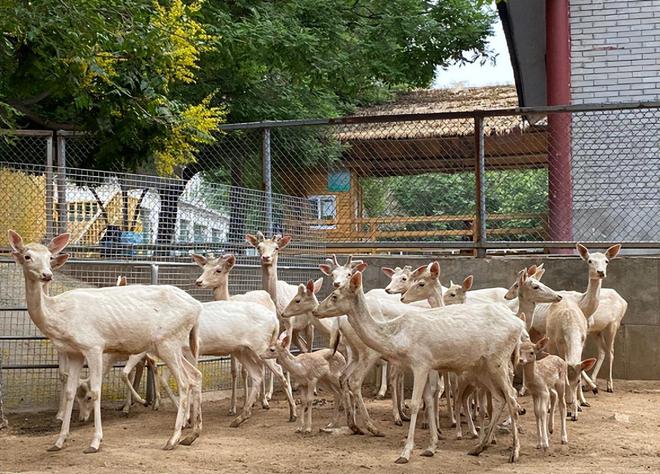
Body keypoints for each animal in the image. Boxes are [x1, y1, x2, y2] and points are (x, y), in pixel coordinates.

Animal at [7, 230, 202, 452]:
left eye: (50, 257)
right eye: (27, 256)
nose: (47, 275)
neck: (59, 316)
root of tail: (197, 307)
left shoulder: (93, 346)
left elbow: (96, 390)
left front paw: (95, 442)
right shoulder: (74, 352)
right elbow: (69, 391)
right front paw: (58, 441)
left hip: (168, 342)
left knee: (184, 382)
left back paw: (173, 438)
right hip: (174, 345)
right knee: (195, 375)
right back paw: (192, 434)